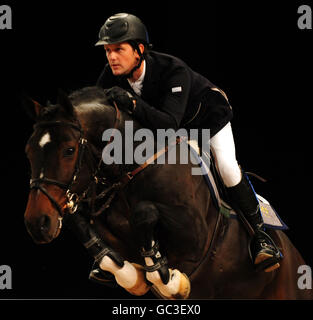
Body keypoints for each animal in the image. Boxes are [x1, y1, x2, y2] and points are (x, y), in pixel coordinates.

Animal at [23, 86, 310, 298]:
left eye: (69, 150)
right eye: (29, 151)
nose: (38, 224)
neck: (131, 168)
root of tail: (294, 254)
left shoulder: (195, 236)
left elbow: (144, 212)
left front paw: (168, 279)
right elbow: (81, 224)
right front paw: (134, 277)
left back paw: (265, 249)